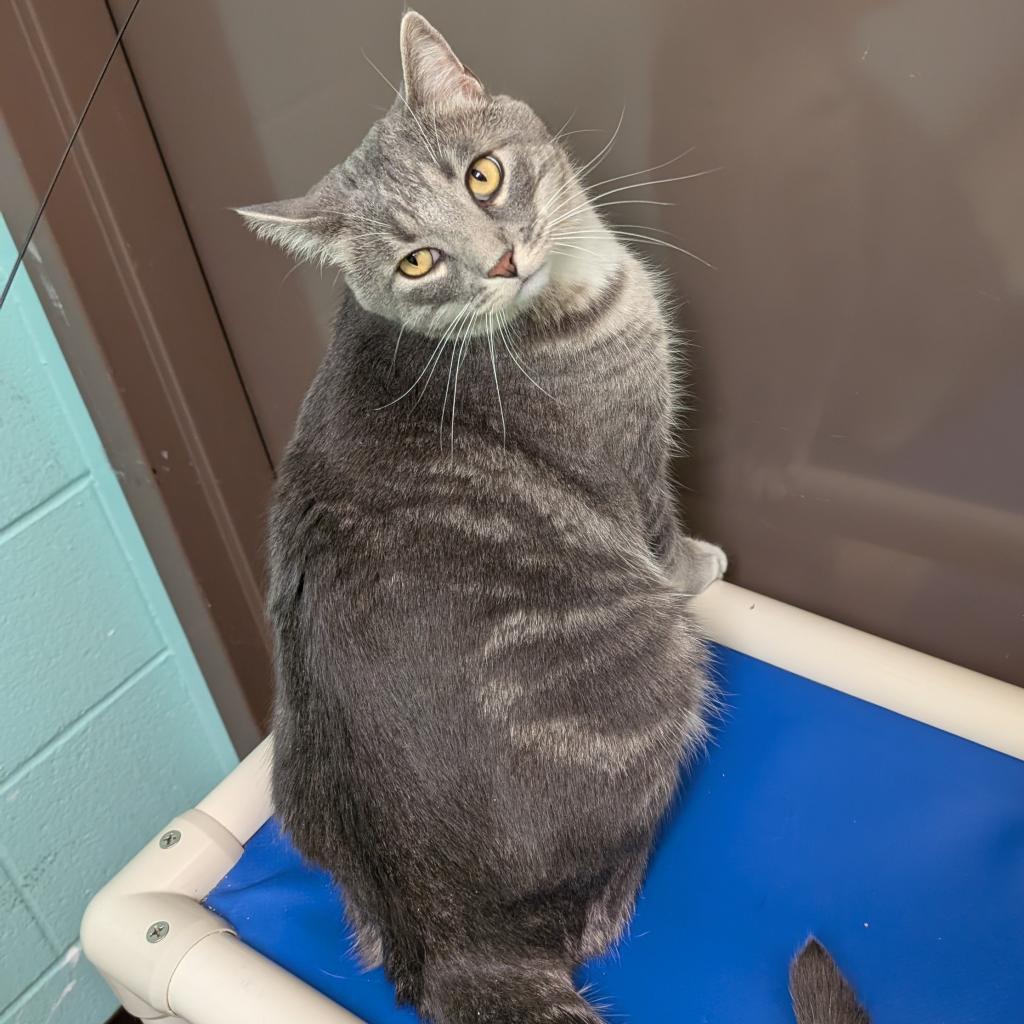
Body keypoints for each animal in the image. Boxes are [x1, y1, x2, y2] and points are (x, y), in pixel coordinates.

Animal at [234, 9, 839, 1024]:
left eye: (483, 174)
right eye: (417, 261)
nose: (502, 259)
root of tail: (454, 938)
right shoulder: (633, 469)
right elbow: (665, 531)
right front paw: (704, 561)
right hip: (664, 670)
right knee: (596, 915)